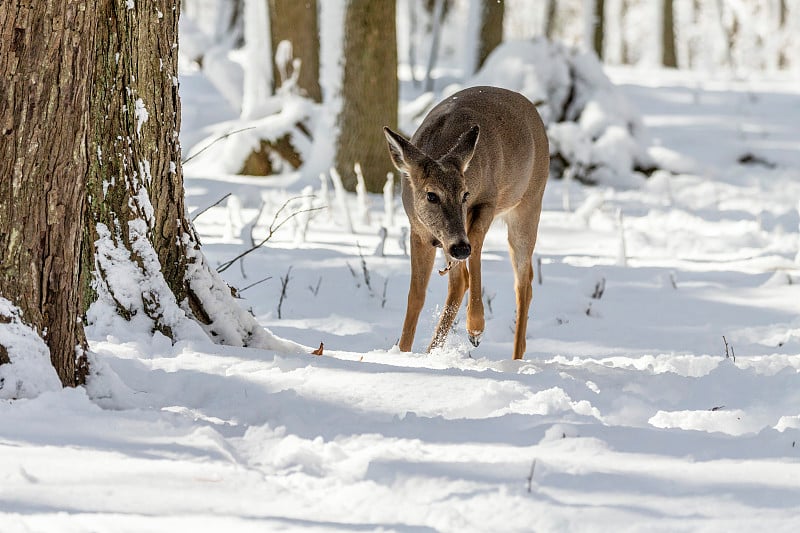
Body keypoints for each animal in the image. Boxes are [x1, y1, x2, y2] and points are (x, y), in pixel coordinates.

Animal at [382, 85, 548, 360]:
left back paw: (514, 356)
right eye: (431, 195)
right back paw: (432, 351)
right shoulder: (419, 231)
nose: (460, 247)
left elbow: (477, 250)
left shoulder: (487, 200)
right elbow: (416, 294)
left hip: (529, 203)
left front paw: (476, 328)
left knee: (523, 283)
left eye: (465, 194)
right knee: (463, 280)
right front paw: (402, 352)